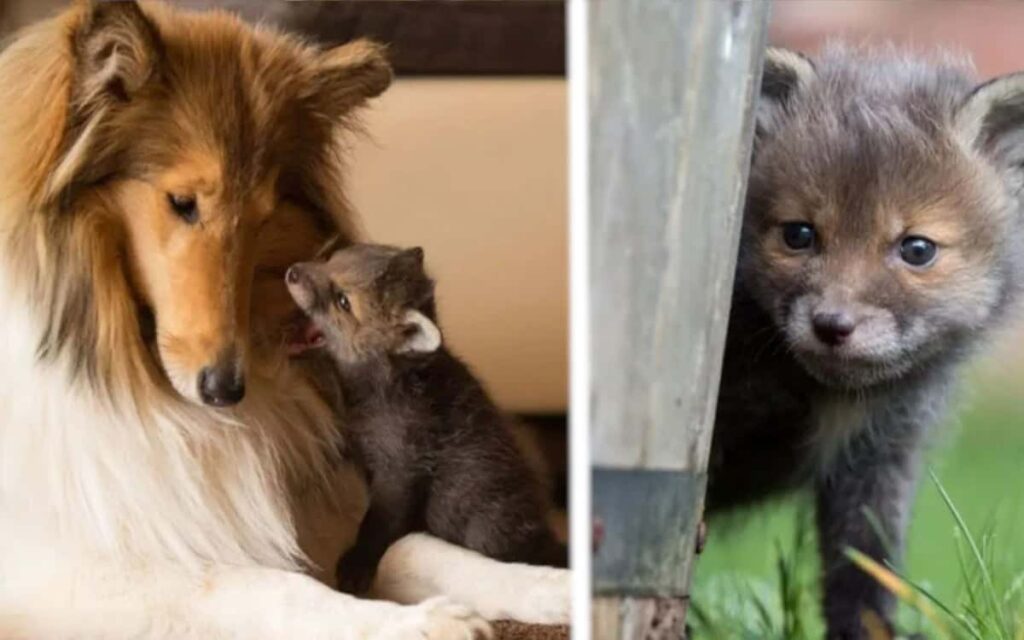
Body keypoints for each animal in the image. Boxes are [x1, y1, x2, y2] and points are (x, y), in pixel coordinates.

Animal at [0, 2, 569, 634]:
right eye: (182, 203)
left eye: (264, 216)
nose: (226, 390)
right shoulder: (65, 566)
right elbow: (263, 586)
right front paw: (421, 623)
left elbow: (413, 547)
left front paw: (556, 585)